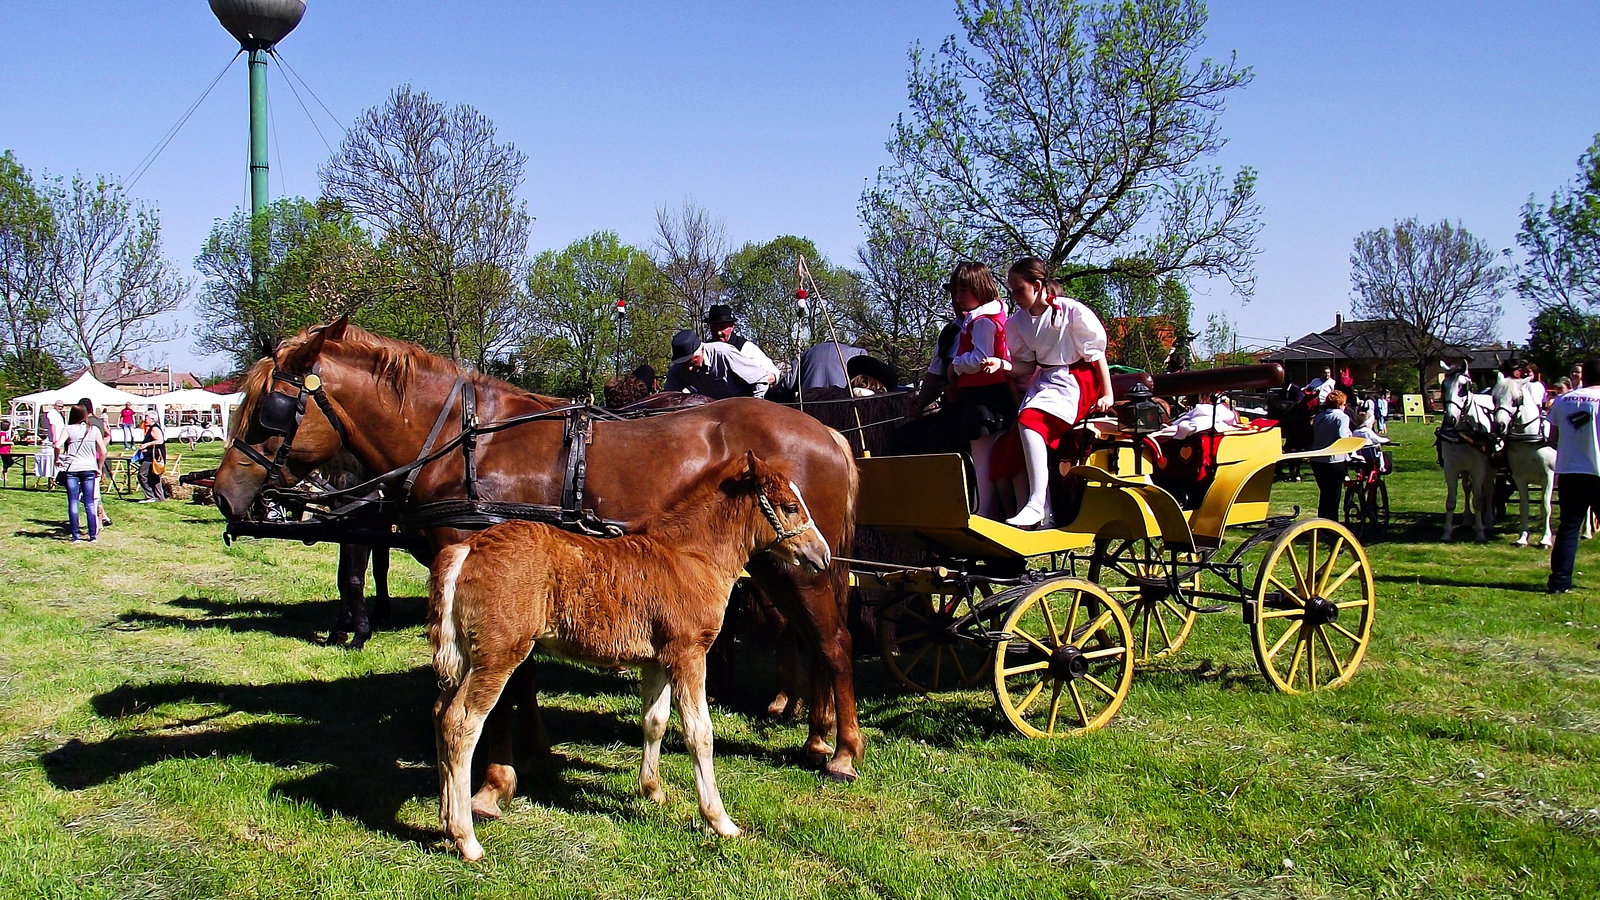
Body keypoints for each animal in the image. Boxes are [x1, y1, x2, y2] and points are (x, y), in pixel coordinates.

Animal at [212, 318, 864, 800]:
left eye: (270, 409)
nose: (222, 493)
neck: (465, 443)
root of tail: (830, 435)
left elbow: (504, 685)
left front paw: (494, 782)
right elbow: (517, 678)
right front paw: (531, 755)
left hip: (803, 568)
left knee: (834, 643)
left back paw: (843, 751)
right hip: (780, 567)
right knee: (807, 639)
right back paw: (815, 733)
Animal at [428, 451, 825, 858]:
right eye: (789, 506)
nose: (822, 555)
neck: (691, 556)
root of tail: (465, 550)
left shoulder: (658, 660)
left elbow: (655, 721)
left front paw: (652, 791)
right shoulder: (688, 654)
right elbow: (699, 733)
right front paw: (720, 821)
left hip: (464, 659)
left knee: (440, 714)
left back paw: (446, 820)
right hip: (497, 657)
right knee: (461, 723)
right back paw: (466, 838)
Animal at [1440, 361, 1497, 538]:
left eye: (1463, 387)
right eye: (1443, 386)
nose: (1450, 419)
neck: (1463, 433)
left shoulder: (1479, 468)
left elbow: (1478, 501)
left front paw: (1480, 532)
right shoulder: (1450, 468)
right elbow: (1450, 502)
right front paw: (1447, 532)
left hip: (1490, 467)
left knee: (1488, 490)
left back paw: (1489, 522)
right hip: (1465, 469)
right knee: (1467, 488)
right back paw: (1466, 520)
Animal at [1484, 373, 1548, 544]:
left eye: (1516, 399)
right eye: (1494, 398)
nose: (1499, 425)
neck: (1529, 440)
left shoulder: (1549, 476)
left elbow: (1546, 506)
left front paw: (1545, 539)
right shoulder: (1519, 477)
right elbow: (1524, 506)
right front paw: (1523, 538)